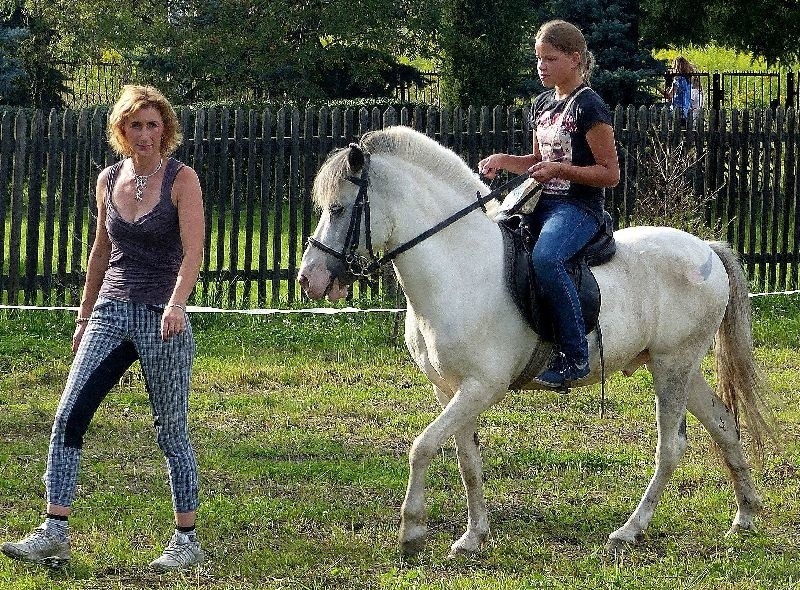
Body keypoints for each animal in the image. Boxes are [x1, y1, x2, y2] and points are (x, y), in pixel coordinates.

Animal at [296, 125, 772, 560]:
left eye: (338, 208)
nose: (308, 280)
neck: (458, 267)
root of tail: (705, 249)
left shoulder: (482, 386)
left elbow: (423, 446)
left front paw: (412, 531)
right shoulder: (450, 389)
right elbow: (467, 460)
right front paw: (473, 537)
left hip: (674, 364)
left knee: (671, 447)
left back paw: (629, 531)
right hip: (676, 365)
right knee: (724, 425)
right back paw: (745, 515)